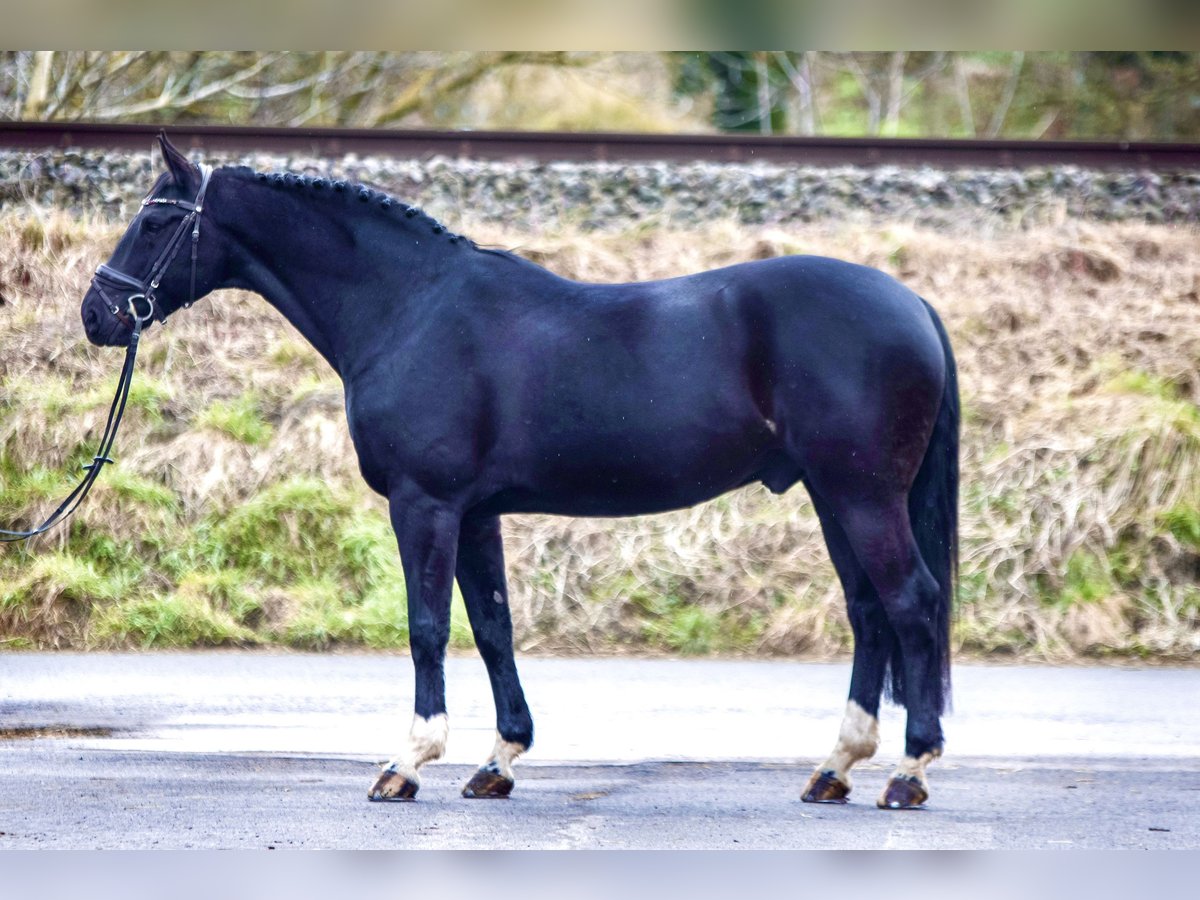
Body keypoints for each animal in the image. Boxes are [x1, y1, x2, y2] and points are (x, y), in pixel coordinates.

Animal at [79, 137, 960, 816]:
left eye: (155, 220)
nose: (96, 314)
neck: (412, 309)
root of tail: (912, 302)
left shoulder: (425, 505)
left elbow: (428, 626)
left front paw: (406, 764)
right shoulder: (477, 513)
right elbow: (493, 627)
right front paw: (497, 762)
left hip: (861, 494)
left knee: (910, 604)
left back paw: (908, 773)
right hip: (832, 495)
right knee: (869, 613)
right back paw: (835, 769)